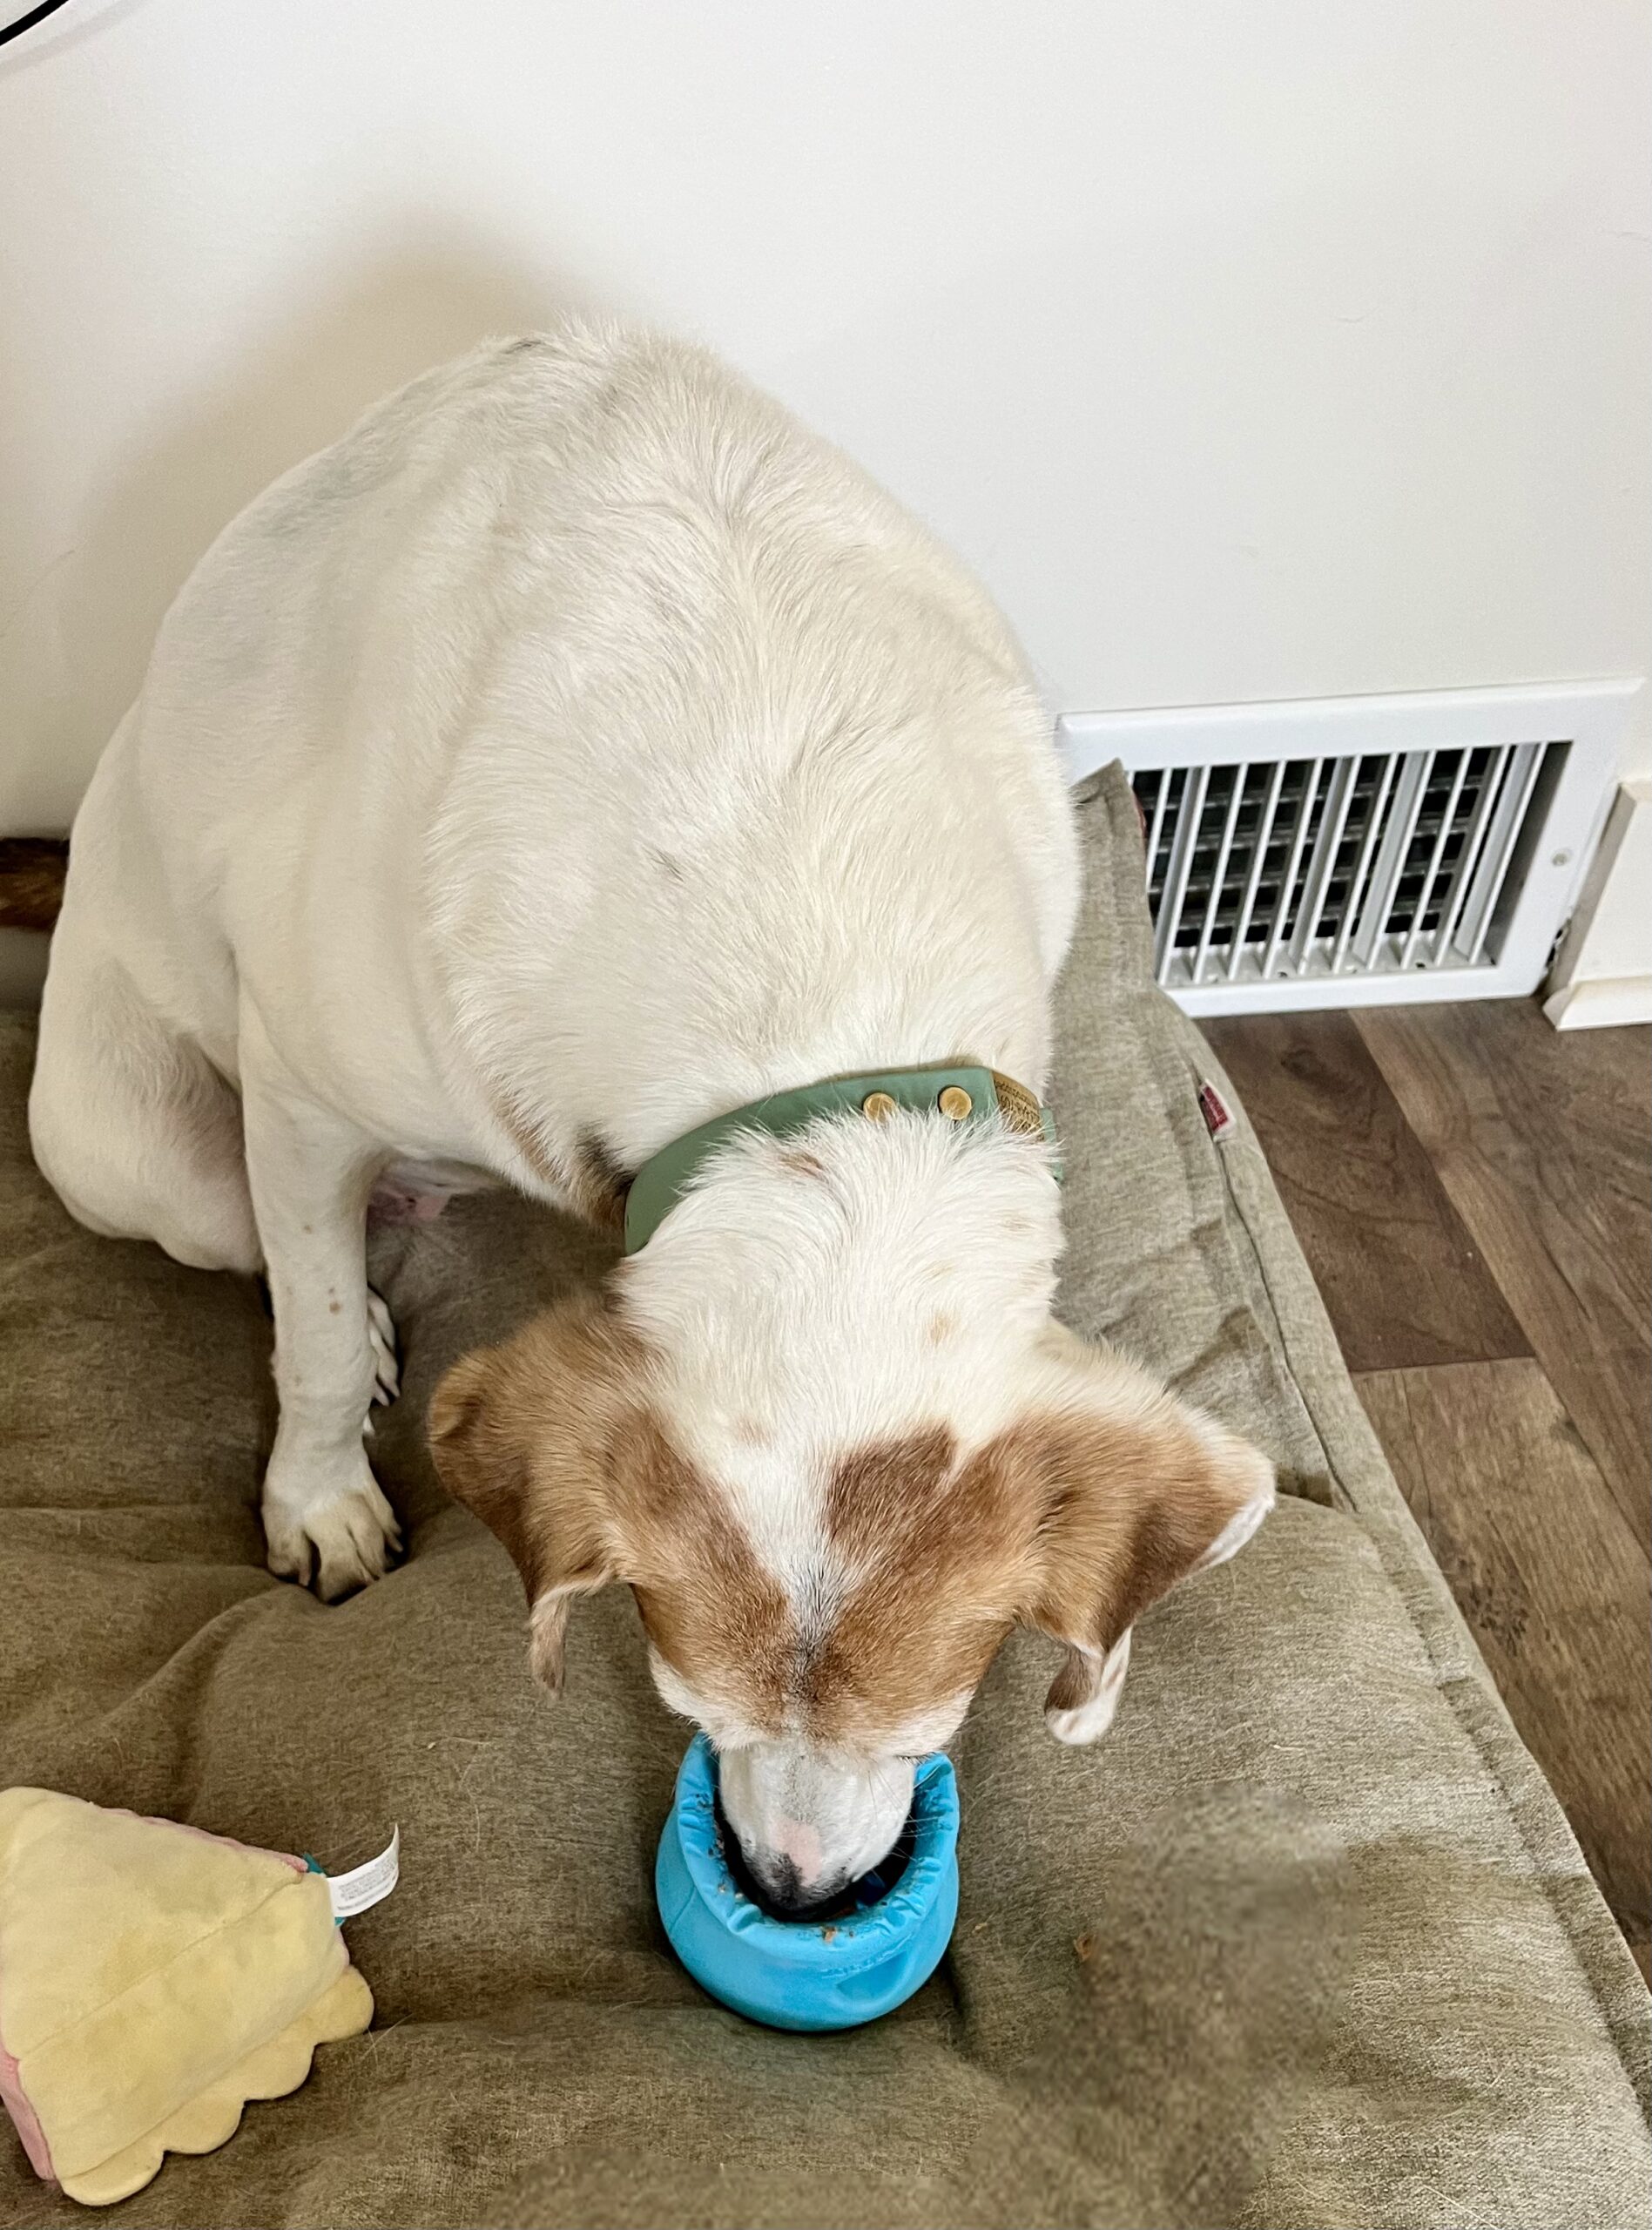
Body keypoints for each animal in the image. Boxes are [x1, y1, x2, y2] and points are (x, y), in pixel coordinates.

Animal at [29, 325, 1275, 1917]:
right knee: (275, 1257)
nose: (797, 1897)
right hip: (145, 1162)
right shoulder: (303, 1099)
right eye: (687, 1710)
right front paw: (321, 1501)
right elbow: (310, 1334)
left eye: (930, 1733)